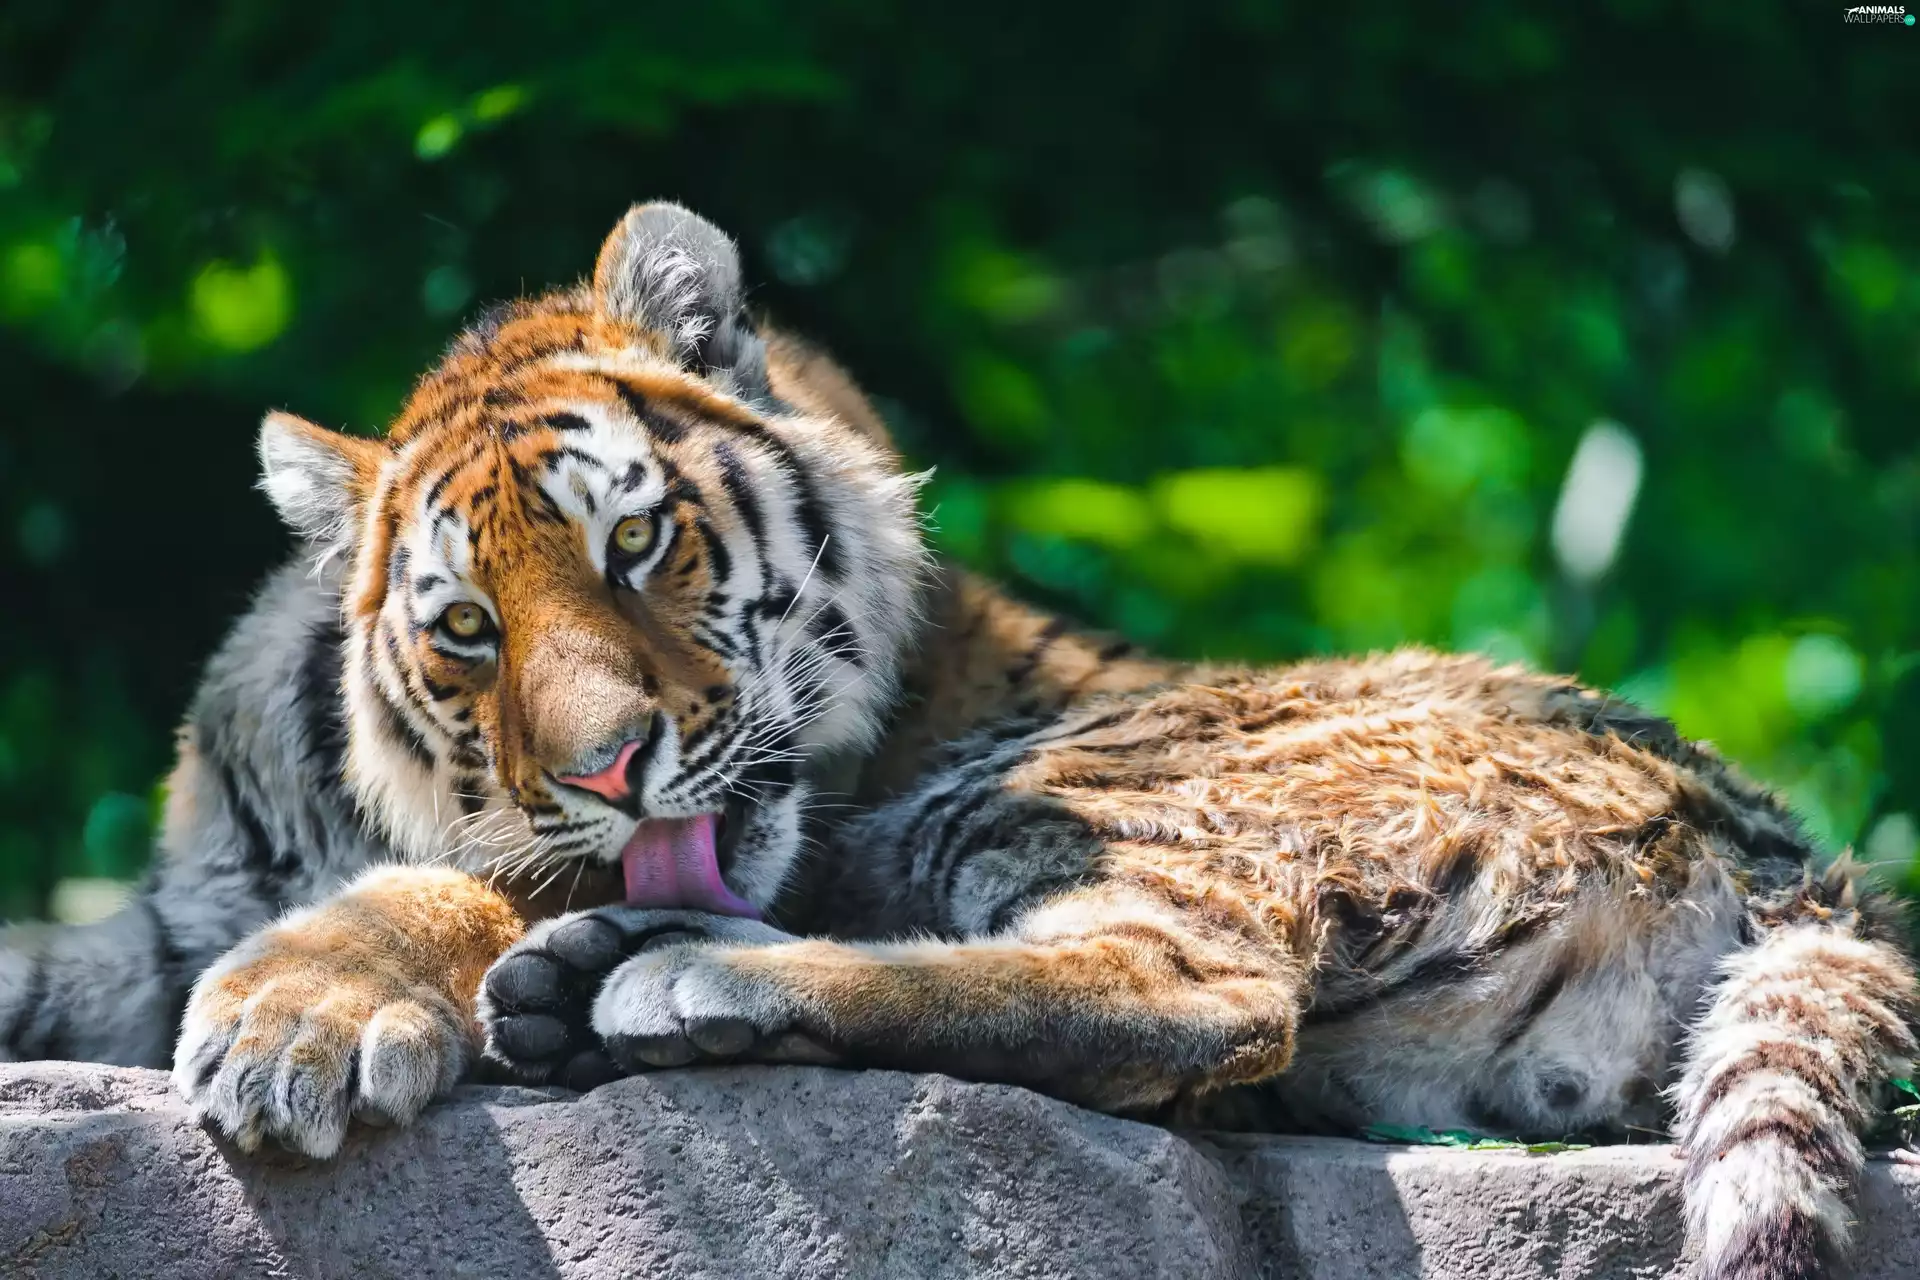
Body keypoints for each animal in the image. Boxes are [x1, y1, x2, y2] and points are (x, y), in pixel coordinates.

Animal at [0, 200, 1910, 1280]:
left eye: (637, 542)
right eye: (466, 629)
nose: (609, 772)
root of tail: (1800, 861)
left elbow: (455, 888)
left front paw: (298, 1023)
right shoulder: (159, 908)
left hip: (1095, 789)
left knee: (1189, 997)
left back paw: (658, 978)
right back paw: (600, 975)